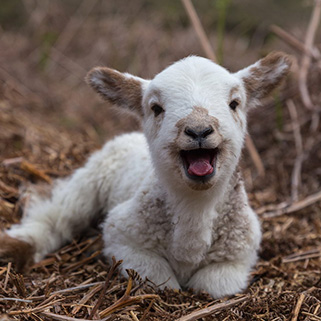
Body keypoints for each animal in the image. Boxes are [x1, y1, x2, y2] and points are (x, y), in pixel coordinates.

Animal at [0, 52, 290, 298]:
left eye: (234, 103)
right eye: (156, 108)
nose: (198, 130)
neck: (195, 208)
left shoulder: (239, 254)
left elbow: (212, 285)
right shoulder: (123, 235)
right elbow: (161, 280)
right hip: (92, 177)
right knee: (56, 214)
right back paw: (15, 246)